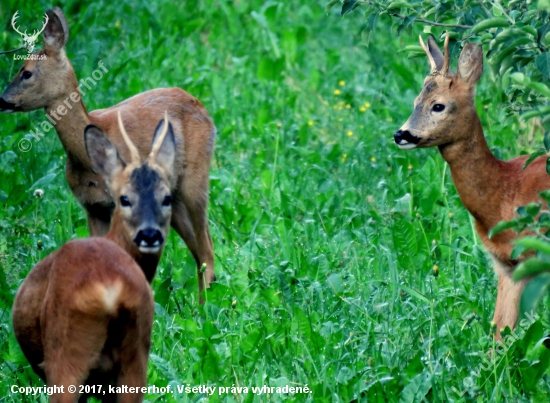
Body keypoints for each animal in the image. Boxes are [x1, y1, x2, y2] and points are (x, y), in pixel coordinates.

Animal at [2, 6, 218, 294]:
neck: (86, 160)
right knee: (199, 251)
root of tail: (202, 108)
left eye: (26, 72)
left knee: (207, 249)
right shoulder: (94, 207)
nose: (2, 100)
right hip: (172, 197)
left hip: (195, 179)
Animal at [11, 112, 176, 402]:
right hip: (136, 353)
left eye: (167, 198)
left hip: (65, 348)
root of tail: (109, 291)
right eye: (125, 198)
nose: (149, 234)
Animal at [396, 33, 550, 340]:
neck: (505, 193)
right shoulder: (507, 266)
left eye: (438, 105)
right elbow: (500, 332)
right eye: (416, 101)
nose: (401, 134)